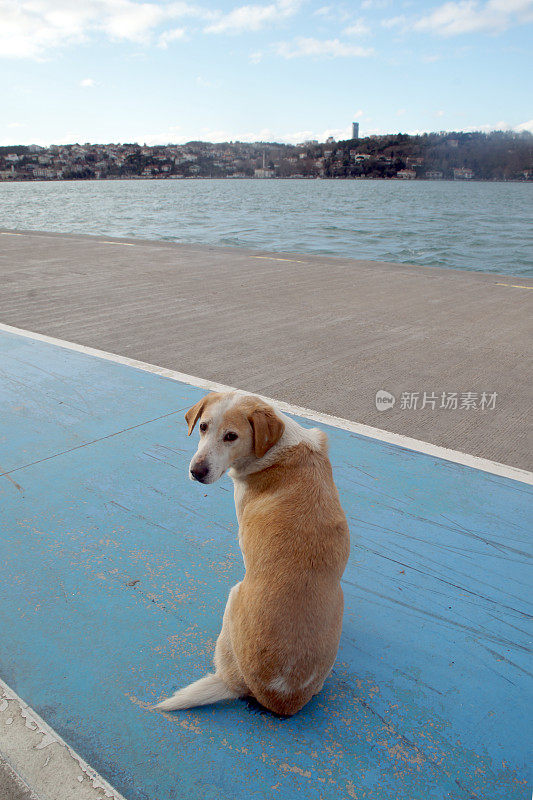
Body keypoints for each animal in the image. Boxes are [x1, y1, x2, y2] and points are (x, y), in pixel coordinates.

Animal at [155, 390, 350, 716]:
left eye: (231, 436)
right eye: (203, 427)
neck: (275, 447)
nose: (196, 472)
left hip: (233, 596)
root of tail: (281, 699)